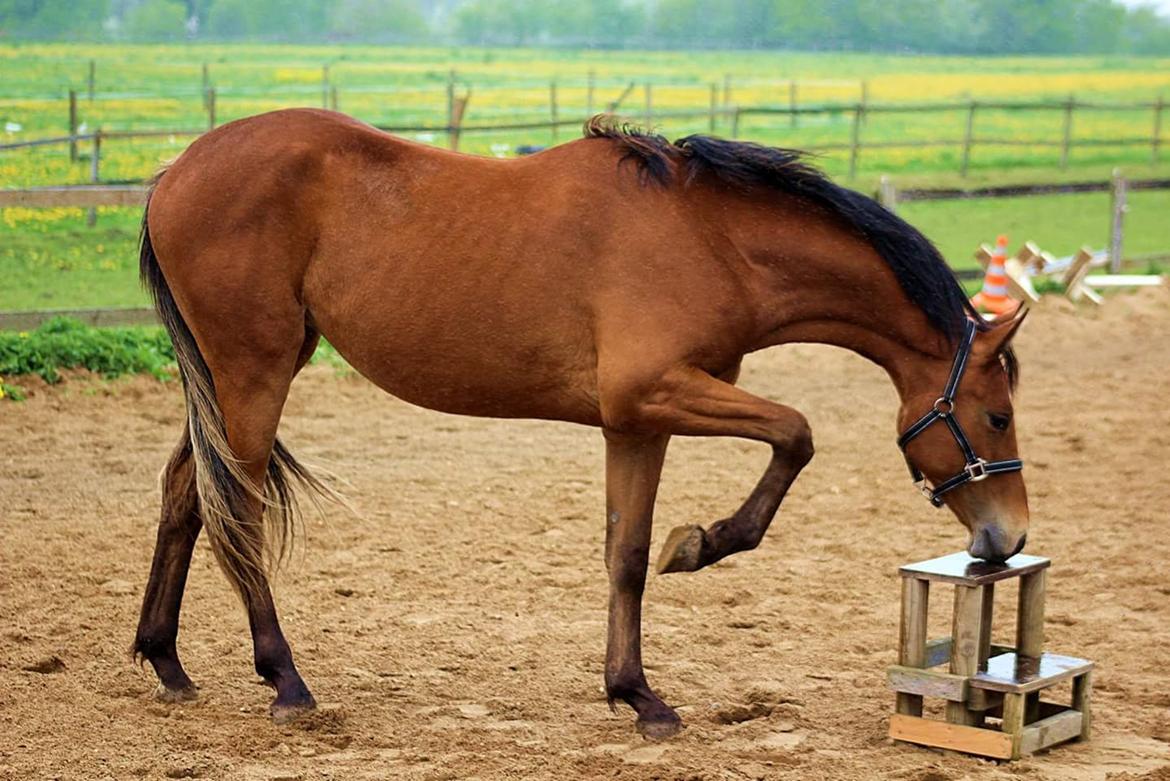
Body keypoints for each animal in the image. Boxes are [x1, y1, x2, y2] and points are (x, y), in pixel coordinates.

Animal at [130, 109, 1024, 738]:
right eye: (997, 413)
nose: (1005, 538)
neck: (711, 237)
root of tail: (177, 170)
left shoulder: (637, 422)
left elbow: (625, 555)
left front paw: (638, 693)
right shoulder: (658, 393)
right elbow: (797, 432)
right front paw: (705, 543)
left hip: (239, 375)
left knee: (185, 490)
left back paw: (166, 658)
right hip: (255, 370)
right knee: (235, 509)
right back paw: (284, 679)